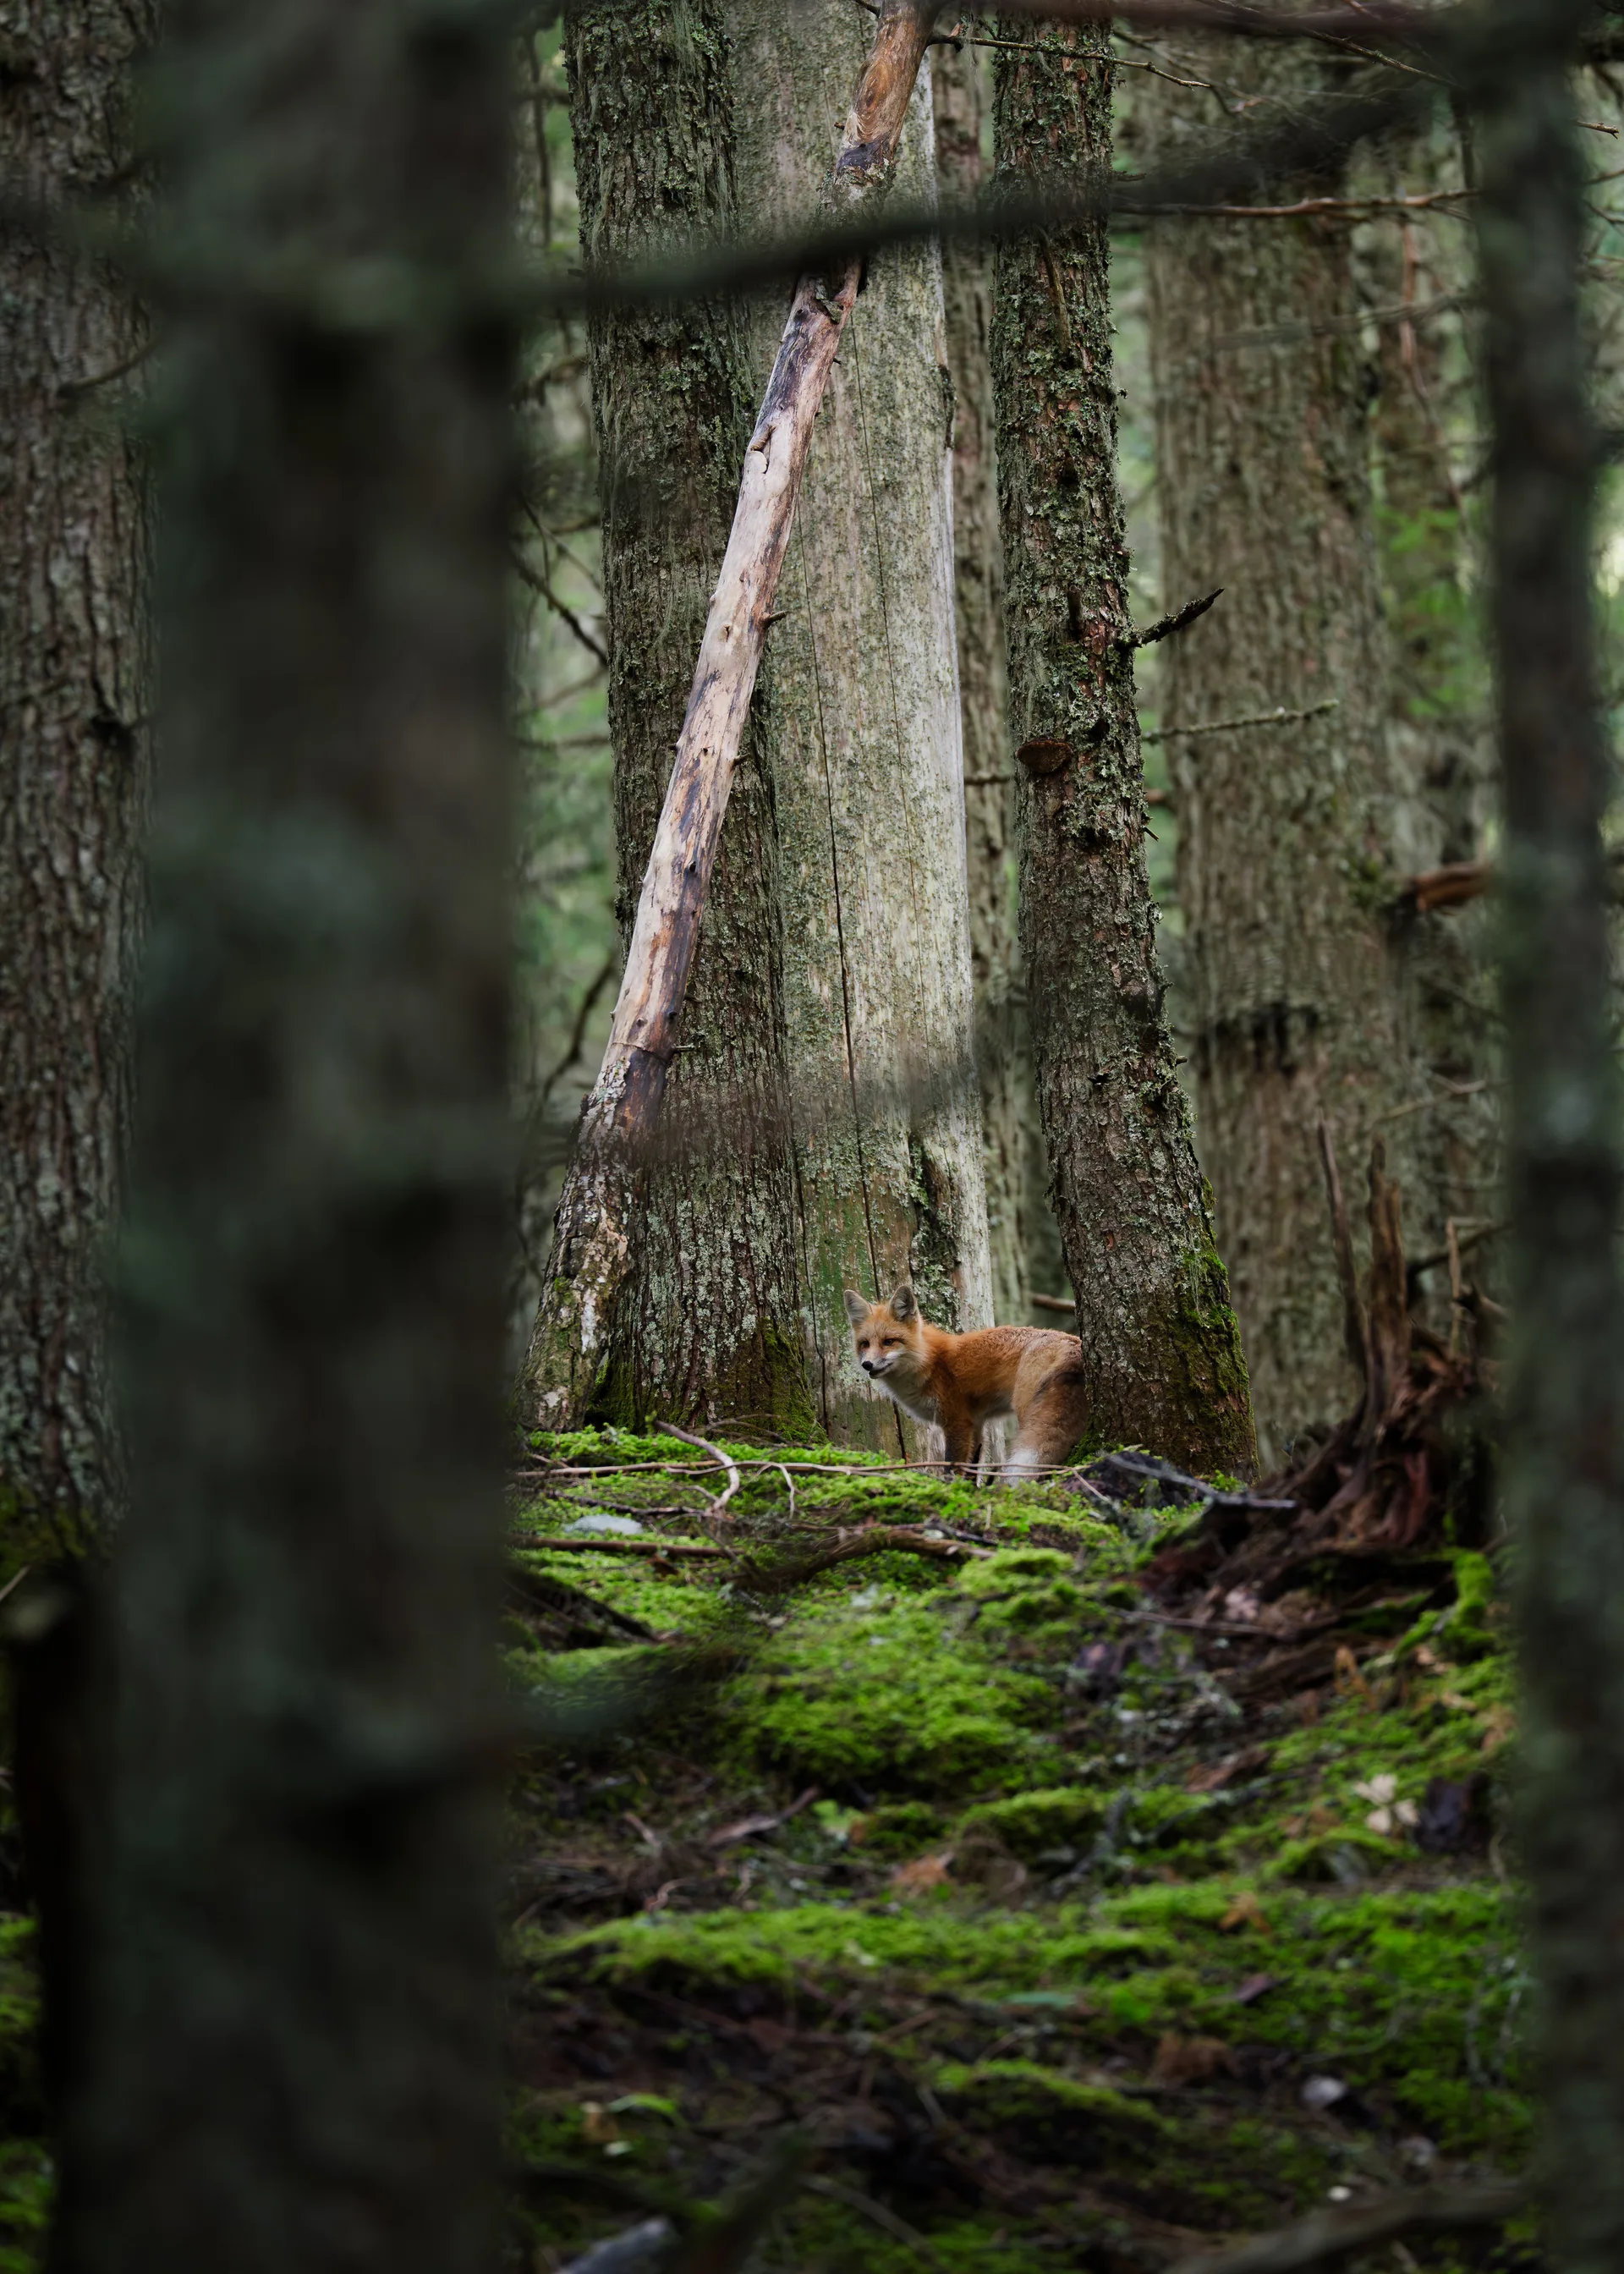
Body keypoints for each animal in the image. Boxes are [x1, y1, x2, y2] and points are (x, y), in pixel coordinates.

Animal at [843, 1282, 1090, 1480]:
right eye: (865, 1344)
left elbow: (952, 1466)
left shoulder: (957, 1421)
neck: (929, 1362)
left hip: (1026, 1410)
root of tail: (1073, 1342)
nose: (867, 1365)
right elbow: (973, 1467)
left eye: (889, 1341)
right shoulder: (977, 1423)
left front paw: (951, 1490)